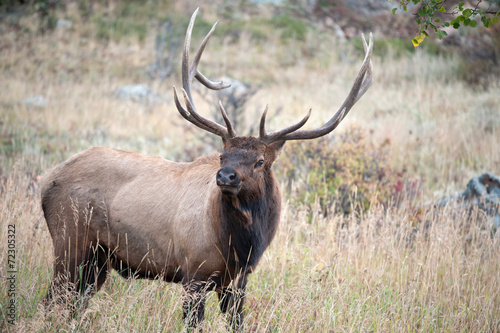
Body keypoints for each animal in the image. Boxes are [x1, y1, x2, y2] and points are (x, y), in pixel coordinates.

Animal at [41, 7, 374, 330]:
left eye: (260, 161)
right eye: (222, 155)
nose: (225, 176)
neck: (239, 244)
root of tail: (47, 182)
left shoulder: (238, 281)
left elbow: (238, 323)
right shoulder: (194, 272)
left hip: (97, 261)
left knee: (71, 304)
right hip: (69, 242)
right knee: (51, 301)